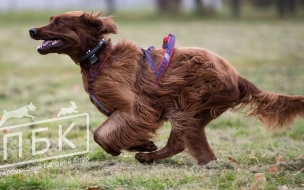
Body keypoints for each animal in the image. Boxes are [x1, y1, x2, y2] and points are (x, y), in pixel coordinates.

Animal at [29, 11, 304, 165]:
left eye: (59, 22)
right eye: (51, 19)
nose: (32, 30)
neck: (98, 58)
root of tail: (239, 78)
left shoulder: (135, 108)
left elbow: (101, 134)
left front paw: (138, 147)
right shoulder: (128, 114)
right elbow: (114, 133)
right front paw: (142, 144)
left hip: (188, 103)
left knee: (179, 145)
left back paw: (149, 158)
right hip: (196, 114)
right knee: (204, 153)